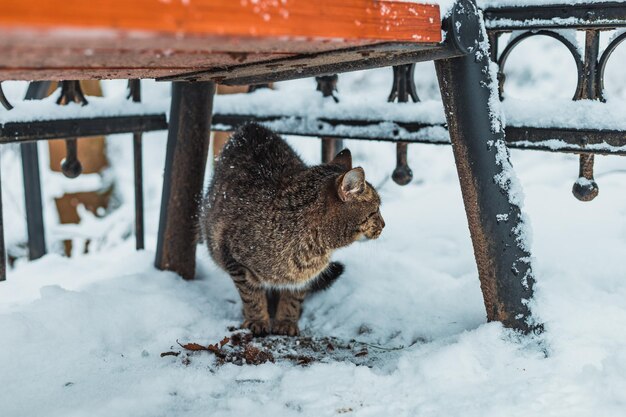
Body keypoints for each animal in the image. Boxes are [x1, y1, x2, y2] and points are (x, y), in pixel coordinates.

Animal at [201, 122, 386, 334]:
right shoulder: (234, 260)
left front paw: (286, 321)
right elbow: (251, 295)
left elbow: (293, 299)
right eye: (376, 210)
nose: (384, 224)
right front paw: (257, 319)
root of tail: (250, 125)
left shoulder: (302, 277)